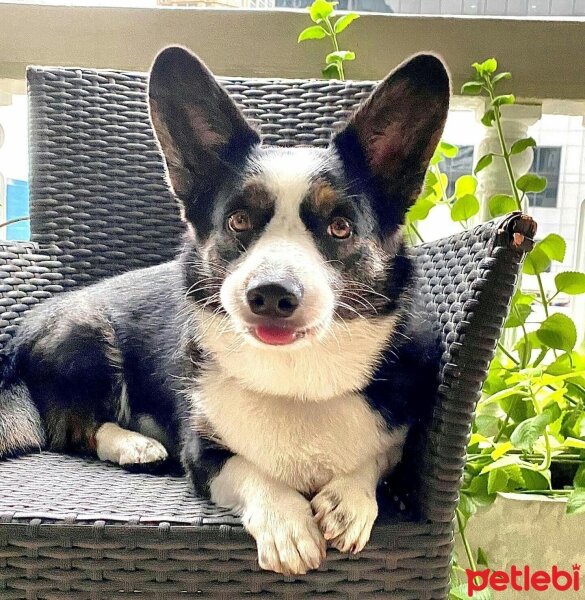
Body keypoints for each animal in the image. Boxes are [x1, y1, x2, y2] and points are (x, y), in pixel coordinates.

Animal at [0, 48, 448, 576]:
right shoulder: (203, 453)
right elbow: (250, 470)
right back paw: (135, 445)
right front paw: (289, 525)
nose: (271, 294)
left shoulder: (397, 433)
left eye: (340, 227)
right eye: (238, 221)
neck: (294, 378)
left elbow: (376, 459)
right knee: (72, 430)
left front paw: (348, 501)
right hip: (86, 335)